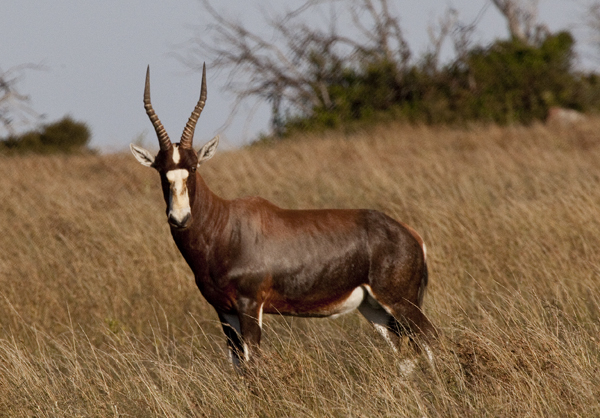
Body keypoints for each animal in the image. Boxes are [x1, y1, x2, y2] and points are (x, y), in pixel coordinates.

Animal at [130, 64, 436, 372]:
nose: (180, 218)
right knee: (405, 354)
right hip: (375, 308)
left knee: (429, 338)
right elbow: (238, 366)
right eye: (161, 170)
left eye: (193, 167)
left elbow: (253, 363)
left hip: (400, 302)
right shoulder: (224, 311)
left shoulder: (250, 305)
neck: (224, 225)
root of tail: (411, 235)